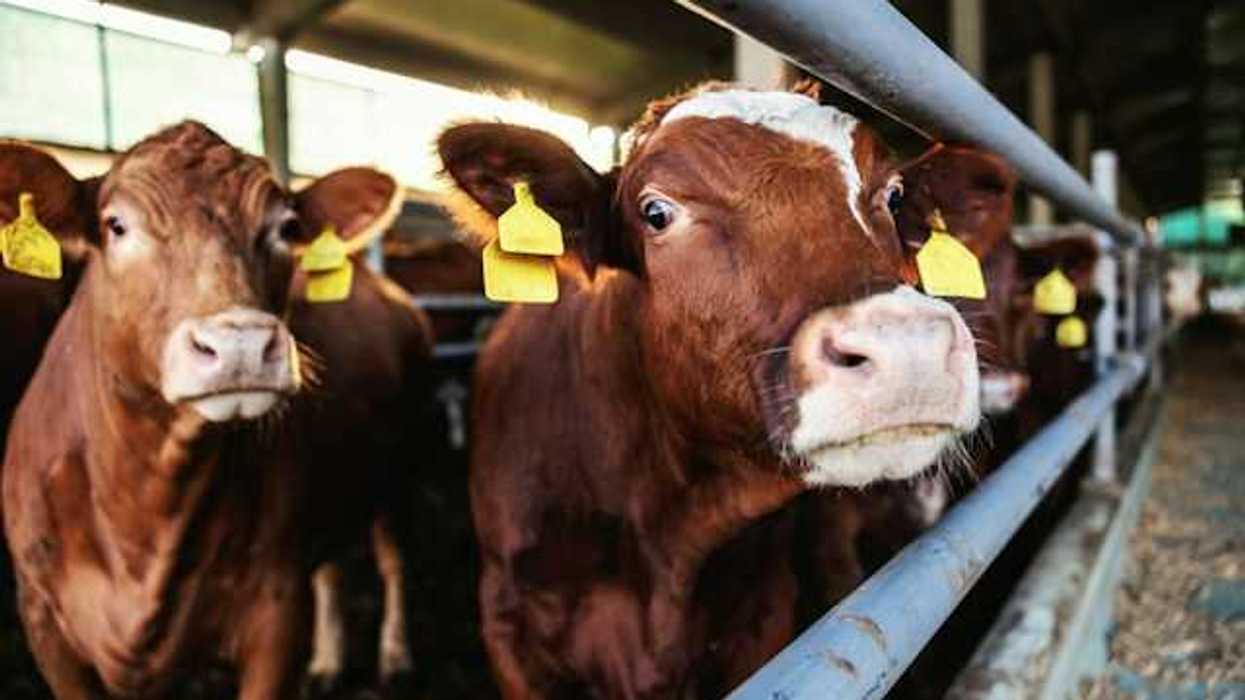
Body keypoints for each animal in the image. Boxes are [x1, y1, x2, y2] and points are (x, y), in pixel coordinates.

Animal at [1, 122, 424, 699]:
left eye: (287, 228)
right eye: (116, 225)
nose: (241, 344)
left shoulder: (276, 610)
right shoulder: (43, 620)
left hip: (402, 464)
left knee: (394, 558)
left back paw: (396, 657)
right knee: (332, 568)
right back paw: (328, 663)